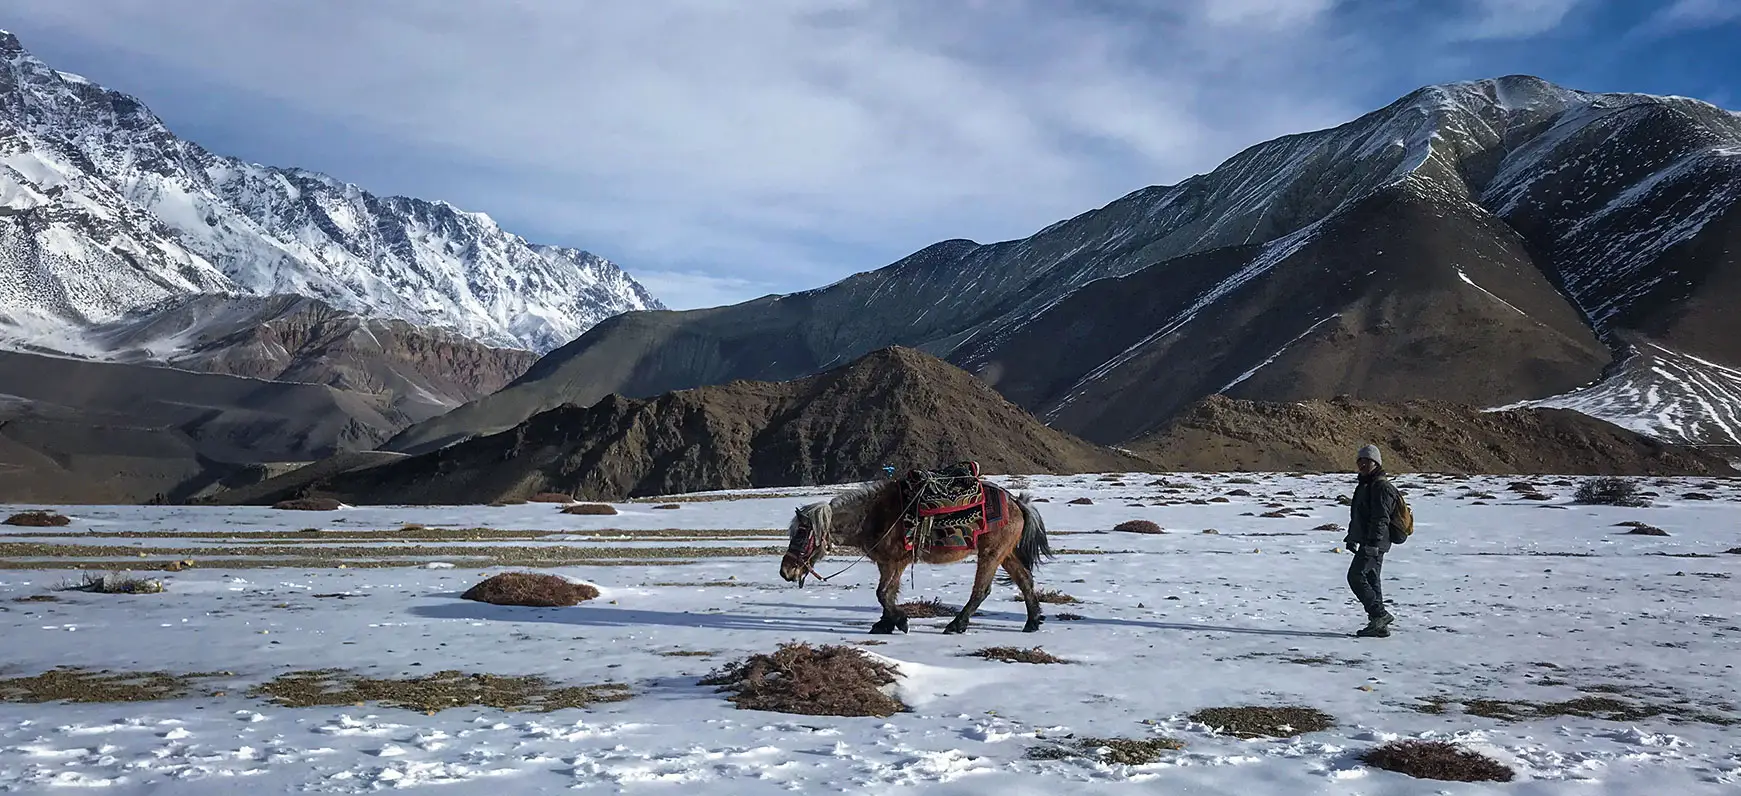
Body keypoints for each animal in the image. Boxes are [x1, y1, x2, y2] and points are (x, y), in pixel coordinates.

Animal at [783, 477, 1051, 634]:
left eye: (802, 534)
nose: (786, 571)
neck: (873, 517)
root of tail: (1018, 502)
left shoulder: (896, 561)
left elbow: (883, 594)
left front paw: (900, 622)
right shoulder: (886, 564)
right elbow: (887, 593)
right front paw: (884, 624)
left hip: (991, 554)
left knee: (981, 590)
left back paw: (956, 625)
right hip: (1005, 554)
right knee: (1025, 580)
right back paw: (1032, 622)